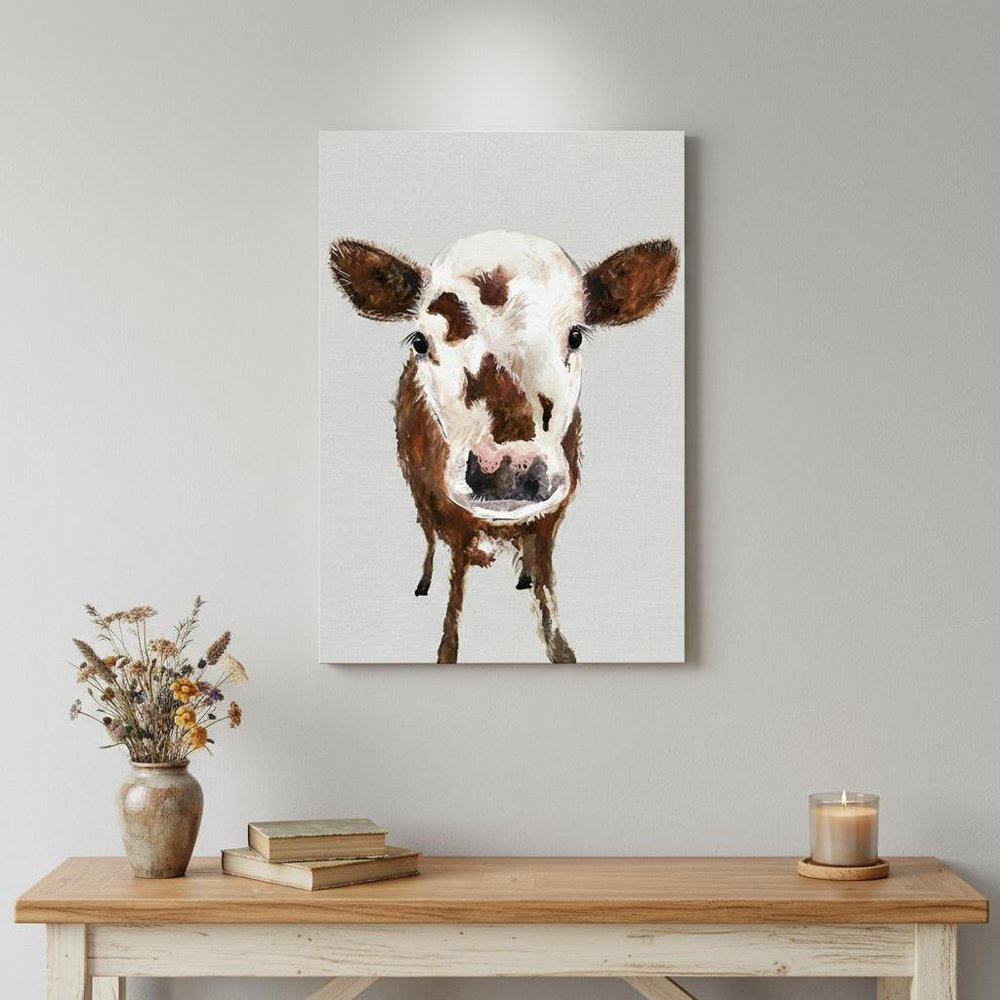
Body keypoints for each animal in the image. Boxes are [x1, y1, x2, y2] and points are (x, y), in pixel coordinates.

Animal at [329, 230, 679, 663]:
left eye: (576, 335)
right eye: (421, 341)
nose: (508, 469)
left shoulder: (550, 521)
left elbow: (549, 608)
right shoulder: (453, 520)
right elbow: (452, 613)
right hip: (416, 485)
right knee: (427, 535)